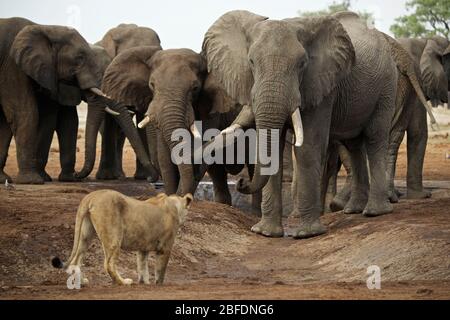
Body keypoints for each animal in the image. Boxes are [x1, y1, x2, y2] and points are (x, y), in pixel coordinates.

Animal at [0, 16, 130, 184]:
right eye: (79, 58)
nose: (78, 175)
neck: (47, 28)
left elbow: (68, 121)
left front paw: (67, 179)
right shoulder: (12, 66)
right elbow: (26, 113)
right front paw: (33, 180)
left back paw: (3, 179)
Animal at [51, 190, 192, 284]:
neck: (174, 204)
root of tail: (91, 196)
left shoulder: (143, 248)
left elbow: (142, 267)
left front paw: (144, 283)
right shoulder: (165, 247)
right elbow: (160, 270)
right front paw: (158, 284)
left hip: (85, 235)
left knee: (76, 260)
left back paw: (81, 282)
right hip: (114, 237)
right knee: (108, 264)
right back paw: (123, 282)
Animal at [201, 10, 400, 238]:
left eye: (302, 64)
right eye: (251, 62)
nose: (242, 182)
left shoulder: (321, 85)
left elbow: (308, 148)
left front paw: (307, 234)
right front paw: (265, 232)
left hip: (387, 85)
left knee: (375, 137)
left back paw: (375, 212)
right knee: (354, 145)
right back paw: (353, 210)